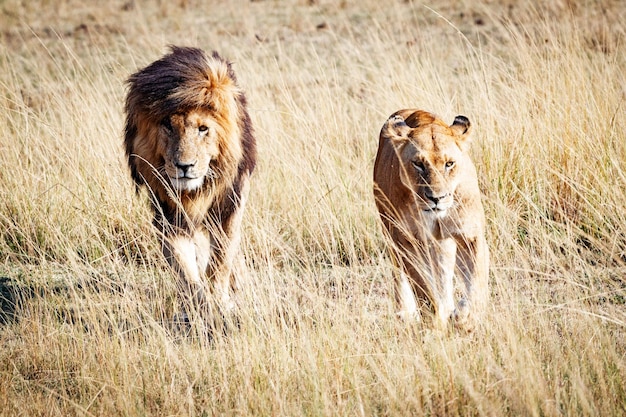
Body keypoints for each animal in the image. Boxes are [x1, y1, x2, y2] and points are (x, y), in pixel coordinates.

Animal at [123, 47, 255, 324]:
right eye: (167, 125)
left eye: (203, 129)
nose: (184, 166)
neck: (194, 192)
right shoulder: (169, 218)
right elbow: (185, 272)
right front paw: (202, 309)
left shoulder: (229, 208)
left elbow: (220, 262)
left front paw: (221, 304)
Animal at [372, 108, 486, 328]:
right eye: (418, 164)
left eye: (449, 164)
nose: (436, 198)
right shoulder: (405, 240)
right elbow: (422, 286)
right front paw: (436, 318)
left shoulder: (470, 235)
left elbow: (477, 278)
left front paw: (464, 318)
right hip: (391, 233)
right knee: (401, 276)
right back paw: (406, 314)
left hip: (442, 244)